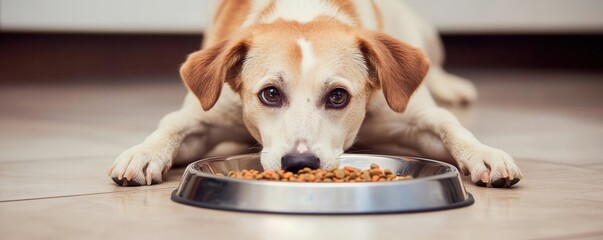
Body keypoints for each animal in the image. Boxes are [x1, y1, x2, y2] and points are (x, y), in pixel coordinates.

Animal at [108, 0, 524, 188]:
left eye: (338, 96)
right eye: (270, 94)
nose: (299, 162)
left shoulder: (413, 116)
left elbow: (450, 127)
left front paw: (485, 154)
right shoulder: (205, 113)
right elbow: (171, 126)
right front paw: (143, 153)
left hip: (423, 34)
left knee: (434, 64)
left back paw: (452, 84)